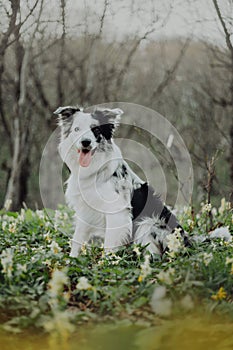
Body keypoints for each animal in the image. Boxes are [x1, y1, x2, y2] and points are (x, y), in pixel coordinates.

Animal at [54, 104, 187, 258]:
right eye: (76, 129)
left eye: (96, 130)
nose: (85, 142)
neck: (94, 169)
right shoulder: (85, 210)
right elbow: (77, 239)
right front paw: (72, 259)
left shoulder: (116, 211)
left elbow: (109, 243)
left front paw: (107, 261)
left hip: (149, 223)